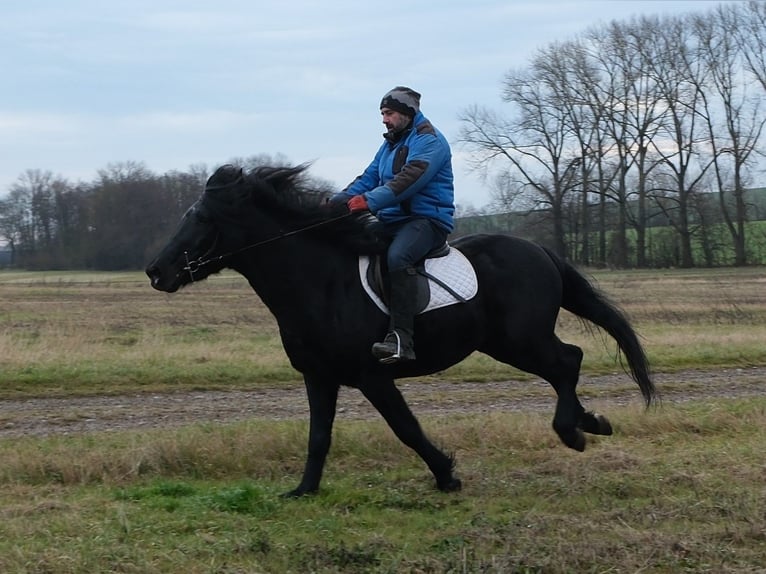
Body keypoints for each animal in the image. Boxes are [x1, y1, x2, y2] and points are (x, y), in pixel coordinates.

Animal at [146, 163, 656, 497]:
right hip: (508, 343)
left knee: (568, 361)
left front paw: (446, 475)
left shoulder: (372, 375)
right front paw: (304, 489)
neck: (319, 282)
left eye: (201, 219)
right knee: (564, 366)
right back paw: (590, 421)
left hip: (521, 340)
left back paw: (573, 430)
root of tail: (539, 251)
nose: (155, 271)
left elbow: (405, 427)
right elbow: (318, 435)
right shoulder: (319, 376)